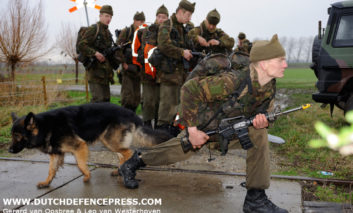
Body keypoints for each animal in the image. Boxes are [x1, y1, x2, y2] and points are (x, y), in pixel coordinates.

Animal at [9, 103, 172, 188]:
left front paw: (87, 176)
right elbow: (51, 170)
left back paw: (124, 170)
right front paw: (46, 182)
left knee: (129, 153)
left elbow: (81, 164)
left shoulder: (79, 146)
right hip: (109, 141)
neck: (45, 126)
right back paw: (118, 171)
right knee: (122, 154)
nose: (9, 150)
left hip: (110, 141)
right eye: (12, 135)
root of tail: (132, 113)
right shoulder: (55, 153)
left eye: (17, 136)